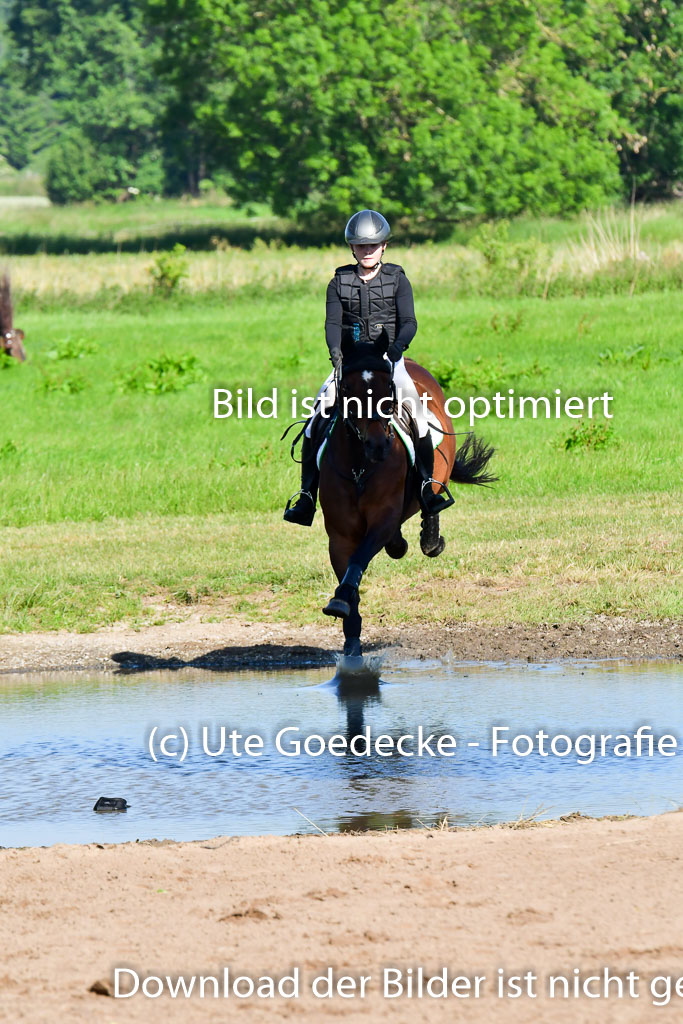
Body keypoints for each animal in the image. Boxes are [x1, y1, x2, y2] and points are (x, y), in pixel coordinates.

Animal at [317, 348, 493, 659]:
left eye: (387, 388)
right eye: (347, 389)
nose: (378, 445)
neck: (359, 466)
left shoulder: (382, 519)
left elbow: (360, 558)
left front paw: (342, 601)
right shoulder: (339, 535)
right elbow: (349, 569)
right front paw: (350, 635)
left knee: (431, 501)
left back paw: (429, 539)